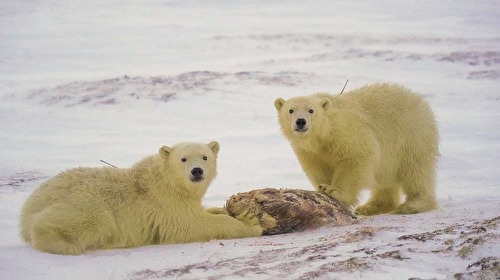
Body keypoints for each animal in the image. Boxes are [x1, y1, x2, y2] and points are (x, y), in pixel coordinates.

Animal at [19, 141, 262, 255]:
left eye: (205, 157)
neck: (166, 181)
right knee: (93, 218)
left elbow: (201, 213)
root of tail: (27, 209)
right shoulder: (165, 203)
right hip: (87, 201)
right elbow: (192, 225)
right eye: (183, 158)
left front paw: (222, 209)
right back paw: (64, 245)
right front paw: (250, 222)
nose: (197, 171)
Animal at [276, 82, 440, 214]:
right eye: (290, 110)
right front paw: (322, 188)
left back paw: (413, 204)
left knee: (416, 171)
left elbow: (356, 157)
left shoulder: (346, 131)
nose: (300, 121)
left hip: (412, 136)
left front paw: (334, 191)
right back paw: (372, 207)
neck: (324, 135)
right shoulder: (309, 152)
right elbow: (318, 168)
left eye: (311, 110)